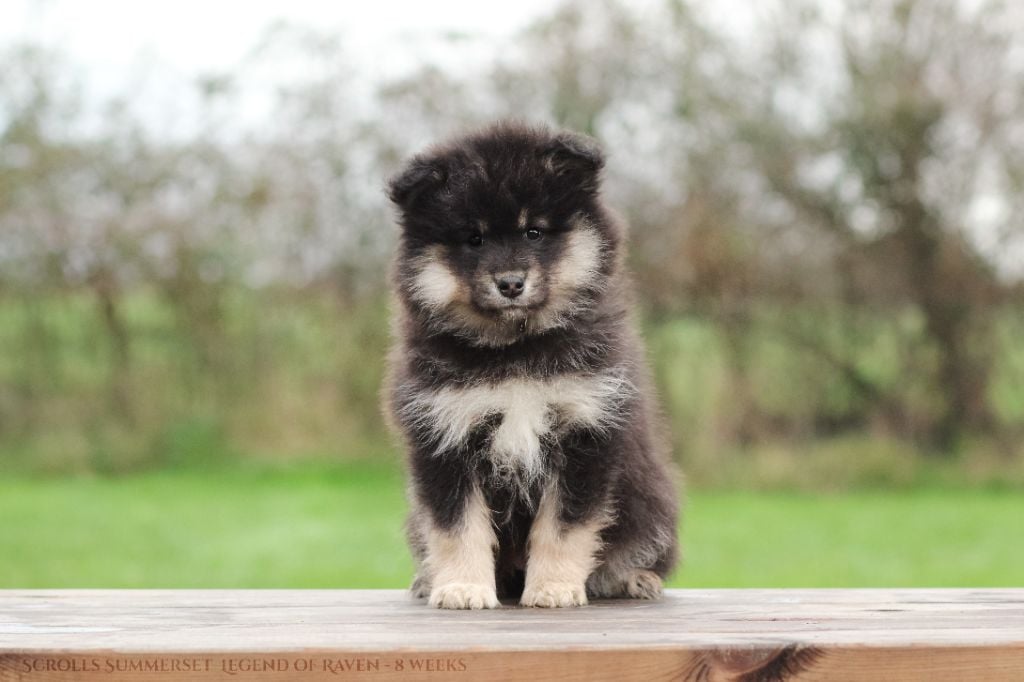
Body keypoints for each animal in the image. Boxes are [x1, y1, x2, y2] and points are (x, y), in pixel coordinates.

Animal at [384, 121, 679, 609]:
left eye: (534, 232)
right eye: (474, 238)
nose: (510, 283)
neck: (516, 350)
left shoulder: (585, 430)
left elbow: (564, 525)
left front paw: (554, 588)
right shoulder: (445, 434)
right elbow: (457, 525)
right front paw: (462, 587)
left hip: (651, 504)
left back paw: (633, 578)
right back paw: (429, 578)